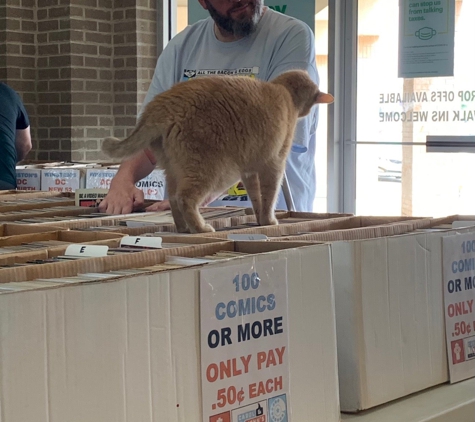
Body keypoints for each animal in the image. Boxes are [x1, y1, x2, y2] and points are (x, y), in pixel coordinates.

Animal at [103, 69, 334, 234]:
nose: (310, 112)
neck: (283, 92)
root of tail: (164, 103)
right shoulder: (274, 165)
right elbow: (269, 196)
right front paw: (269, 220)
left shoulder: (249, 172)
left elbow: (256, 197)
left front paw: (260, 219)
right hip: (213, 171)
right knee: (184, 198)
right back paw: (200, 228)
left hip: (174, 169)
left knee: (174, 199)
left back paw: (184, 227)